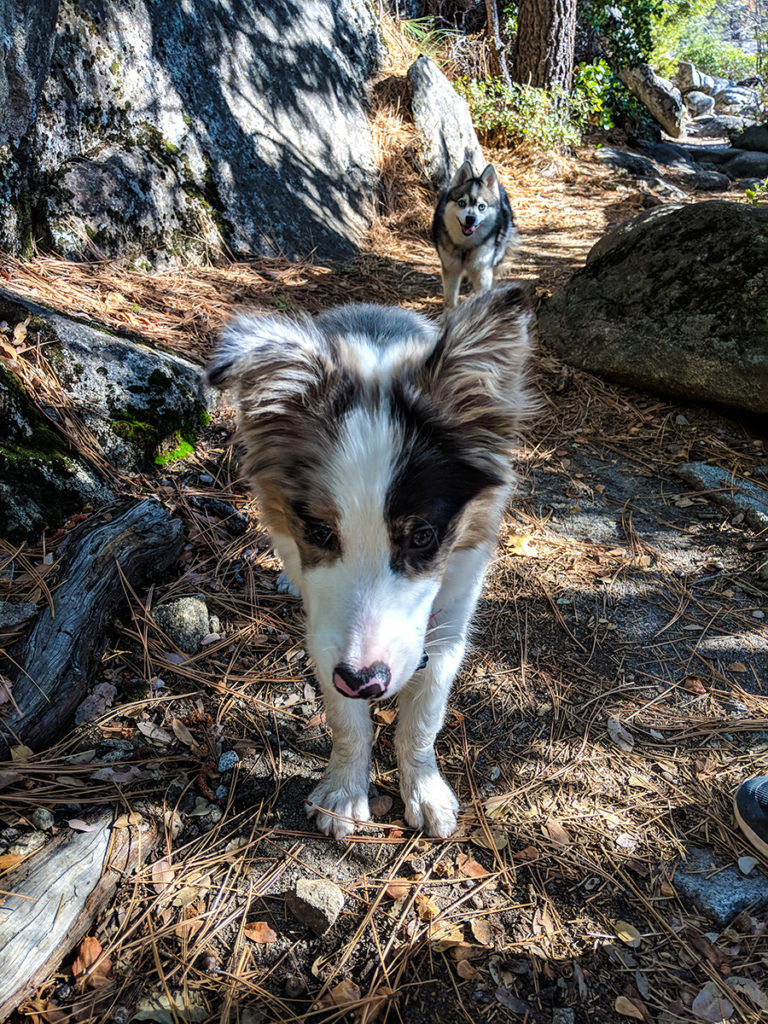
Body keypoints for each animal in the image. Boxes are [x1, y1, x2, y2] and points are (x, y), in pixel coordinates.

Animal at [210, 284, 536, 835]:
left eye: (423, 536)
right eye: (320, 531)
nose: (363, 681)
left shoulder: (449, 627)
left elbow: (422, 721)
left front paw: (424, 789)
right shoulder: (326, 635)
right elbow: (347, 723)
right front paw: (343, 792)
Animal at [434, 159, 518, 309]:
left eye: (482, 207)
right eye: (462, 203)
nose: (470, 219)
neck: (466, 245)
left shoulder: (482, 271)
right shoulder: (451, 268)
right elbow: (450, 298)